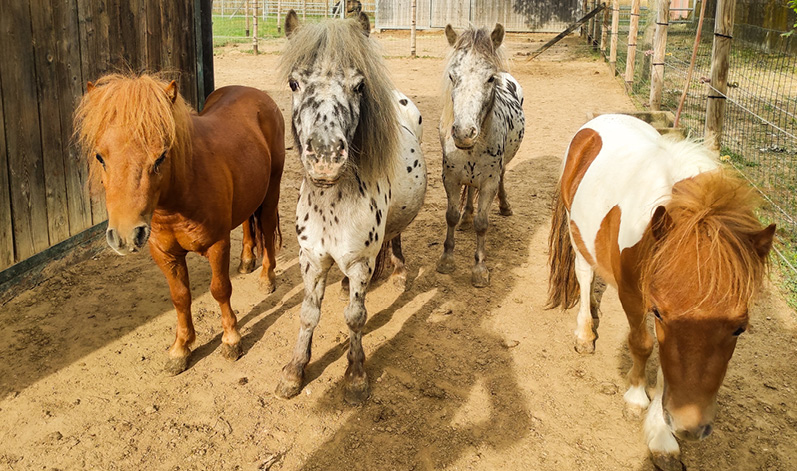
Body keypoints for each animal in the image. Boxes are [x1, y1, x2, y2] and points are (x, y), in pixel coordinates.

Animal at [74, 74, 284, 376]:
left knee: (266, 229)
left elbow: (220, 290)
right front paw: (180, 349)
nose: (125, 236)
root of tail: (256, 94)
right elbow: (180, 297)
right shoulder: (165, 254)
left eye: (160, 156)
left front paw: (231, 340)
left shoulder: (217, 245)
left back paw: (267, 277)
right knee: (247, 222)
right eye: (100, 157)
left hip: (271, 190)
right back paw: (246, 261)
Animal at [274, 10, 422, 406]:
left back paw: (399, 271)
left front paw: (356, 377)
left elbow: (355, 317)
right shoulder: (311, 259)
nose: (325, 157)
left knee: (396, 233)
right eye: (294, 83)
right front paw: (295, 371)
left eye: (358, 86)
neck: (331, 208)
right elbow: (308, 314)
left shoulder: (359, 263)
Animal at [436, 24, 524, 290]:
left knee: (503, 176)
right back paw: (467, 216)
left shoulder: (488, 183)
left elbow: (482, 224)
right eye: (452, 76)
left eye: (489, 78)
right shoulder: (451, 178)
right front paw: (446, 260)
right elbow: (451, 216)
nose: (464, 133)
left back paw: (505, 207)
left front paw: (479, 269)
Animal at [548, 113, 772, 468]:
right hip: (575, 229)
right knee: (584, 275)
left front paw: (661, 437)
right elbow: (641, 344)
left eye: (740, 328)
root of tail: (597, 121)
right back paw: (584, 332)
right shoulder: (633, 296)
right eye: (660, 314)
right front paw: (636, 399)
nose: (690, 427)